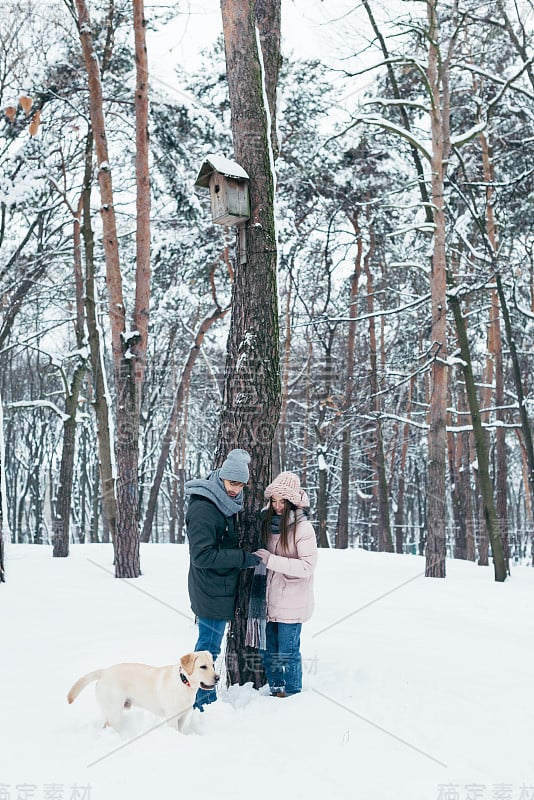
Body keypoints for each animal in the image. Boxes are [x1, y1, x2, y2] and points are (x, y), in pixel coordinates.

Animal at [68, 648, 219, 732]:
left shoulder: (183, 716)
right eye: (203, 667)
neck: (184, 683)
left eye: (213, 665)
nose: (218, 678)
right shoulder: (172, 717)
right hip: (115, 712)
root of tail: (104, 671)